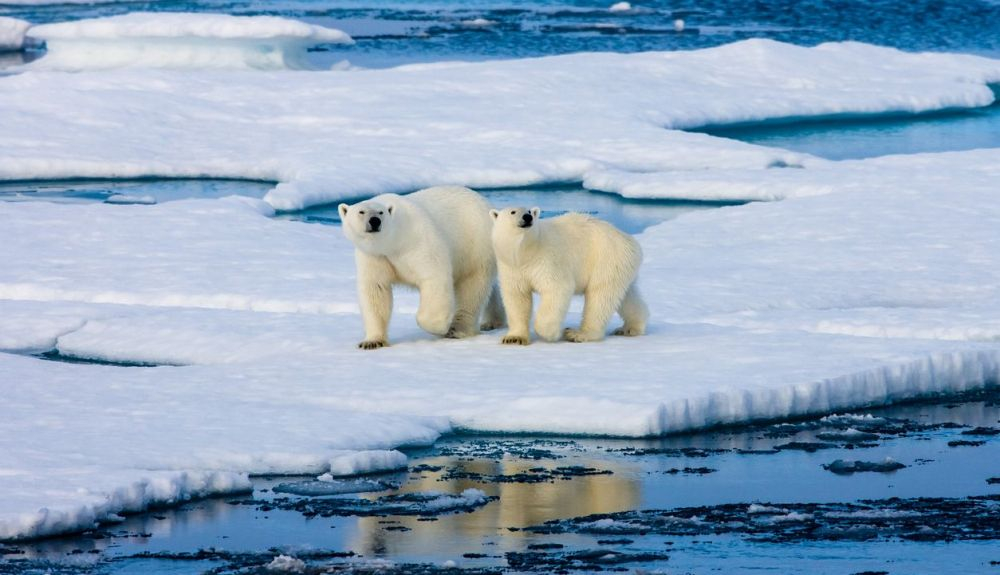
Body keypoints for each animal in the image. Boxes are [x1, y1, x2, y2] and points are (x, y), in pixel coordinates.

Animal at [340, 187, 504, 348]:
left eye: (381, 212)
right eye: (361, 212)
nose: (375, 221)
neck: (394, 241)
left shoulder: (417, 240)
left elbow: (434, 276)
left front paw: (440, 327)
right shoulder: (375, 256)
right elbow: (376, 290)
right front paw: (372, 341)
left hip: (474, 244)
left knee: (471, 287)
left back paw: (457, 329)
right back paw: (492, 321)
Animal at [492, 207, 648, 344]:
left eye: (529, 211)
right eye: (513, 212)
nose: (527, 217)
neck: (525, 253)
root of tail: (631, 241)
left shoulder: (546, 259)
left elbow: (557, 288)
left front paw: (552, 334)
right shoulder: (512, 268)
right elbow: (517, 297)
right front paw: (514, 338)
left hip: (606, 259)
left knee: (600, 297)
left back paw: (578, 334)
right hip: (621, 266)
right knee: (626, 295)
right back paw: (630, 327)